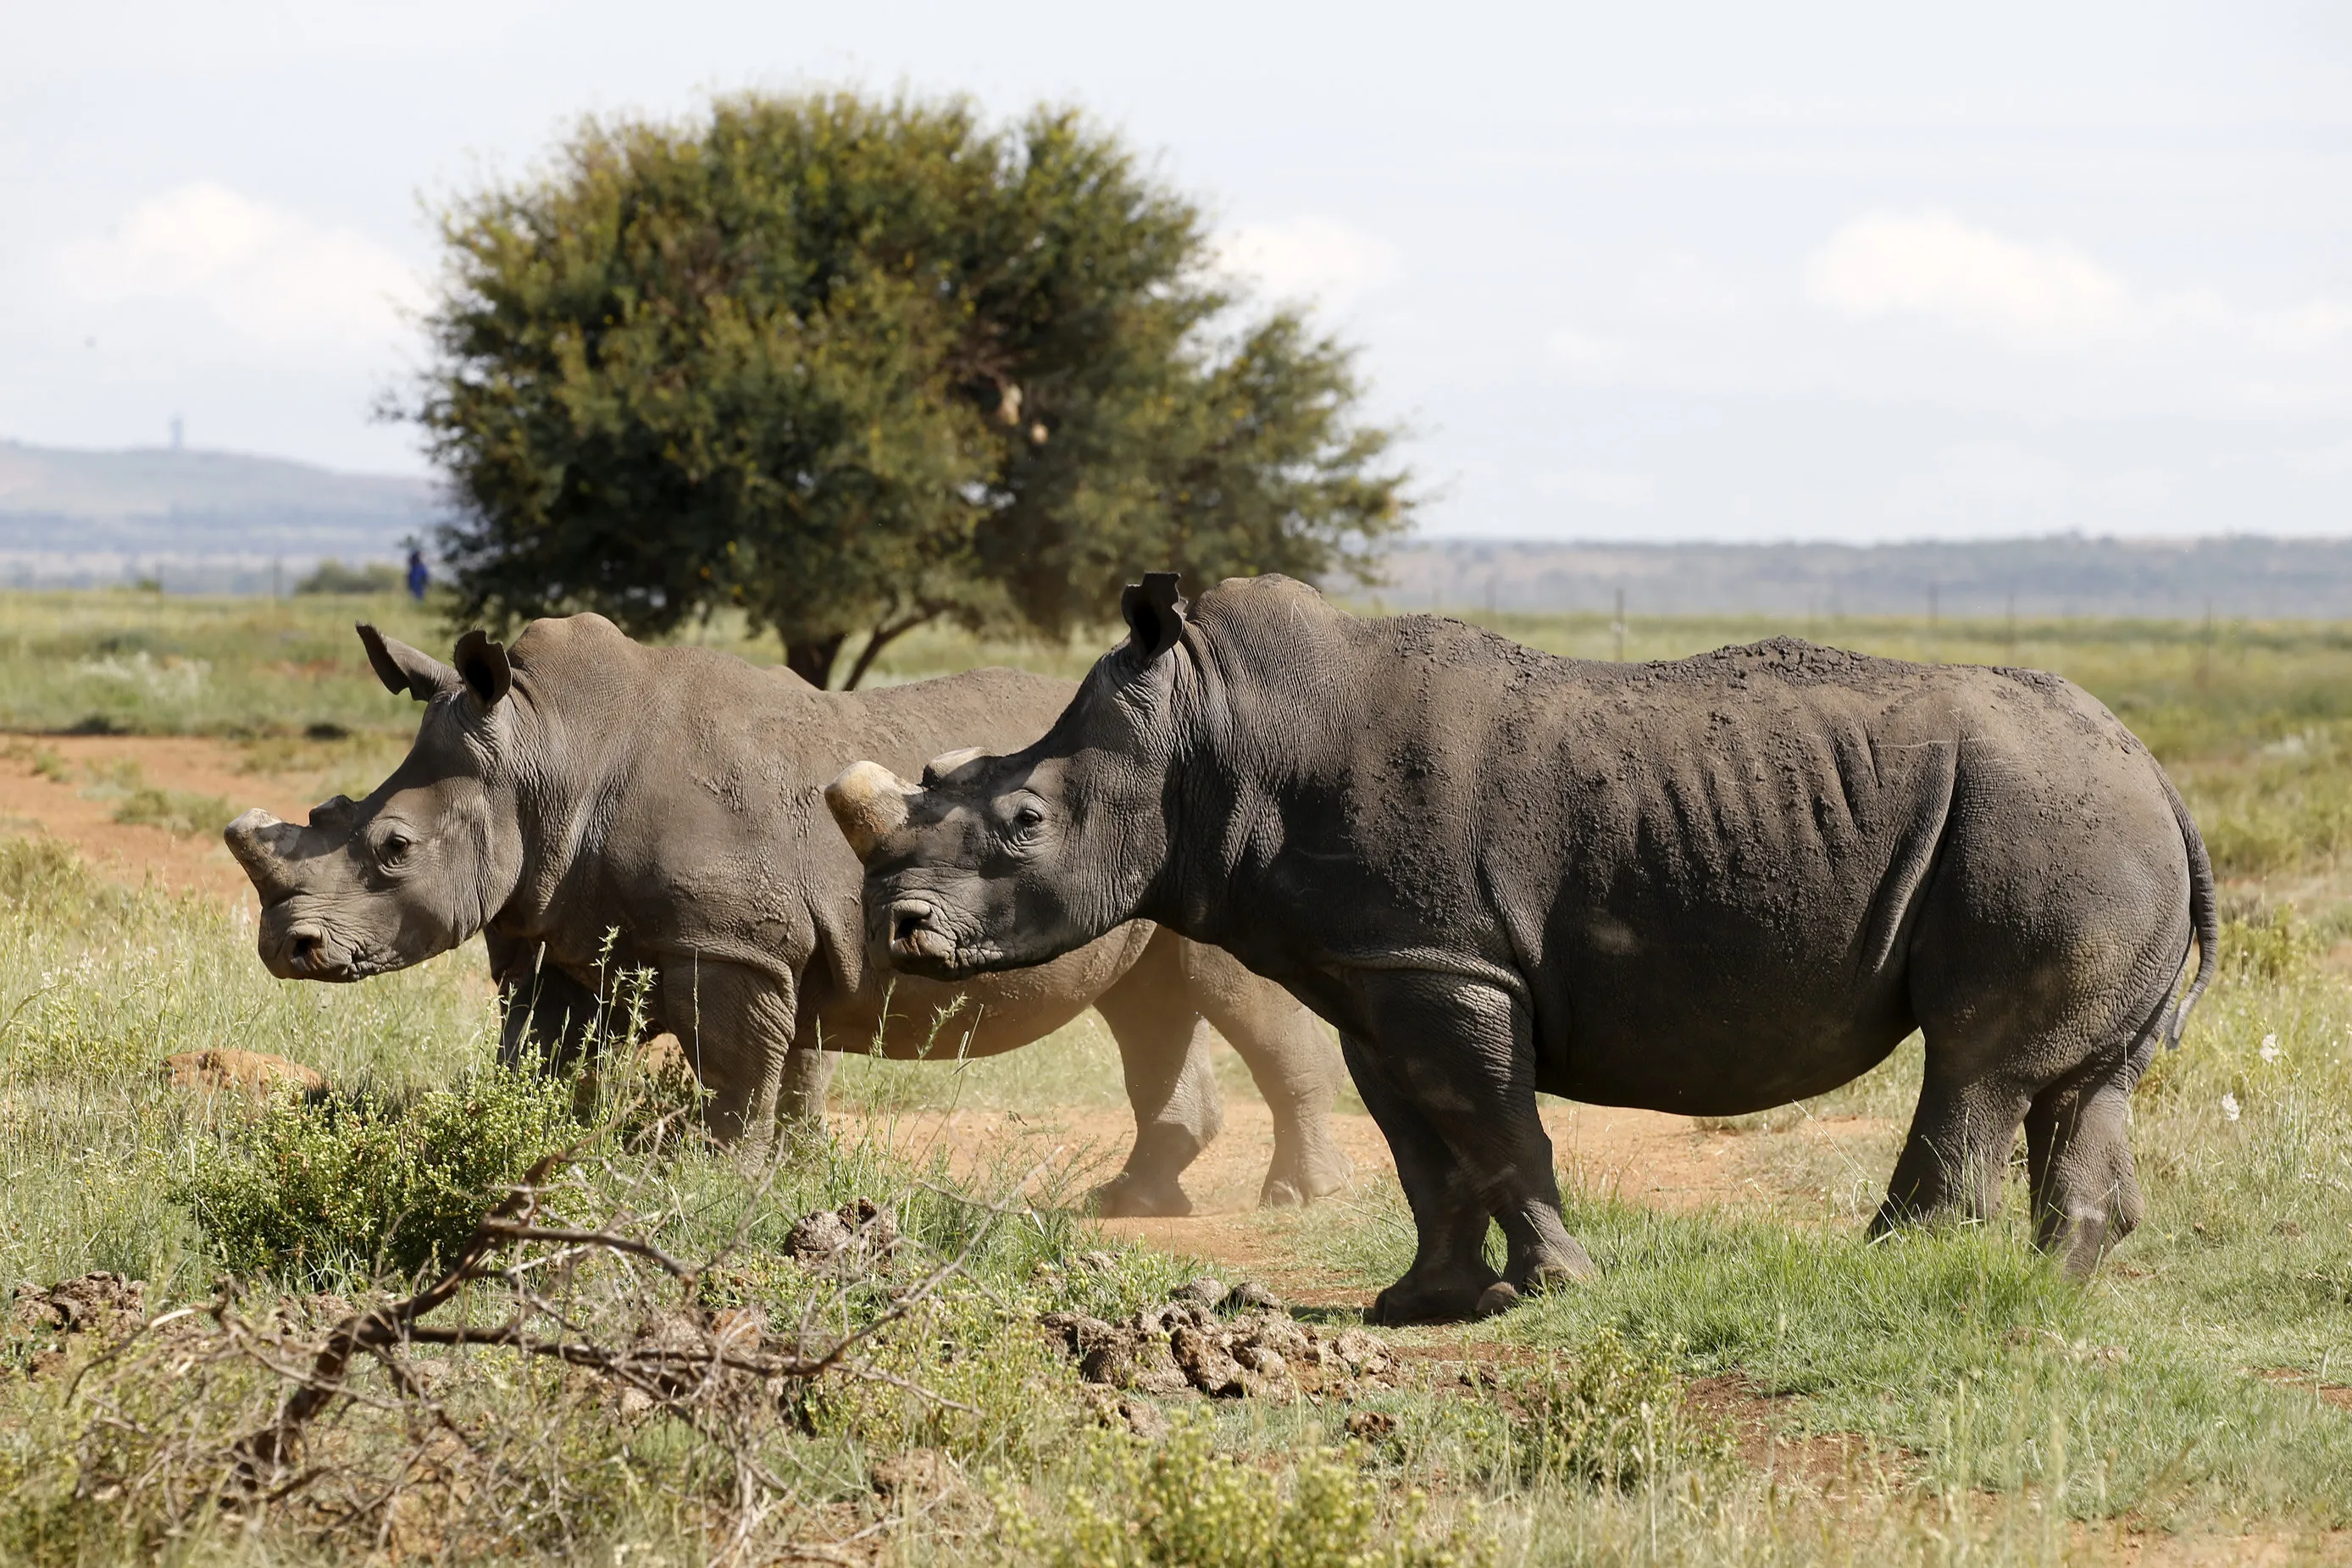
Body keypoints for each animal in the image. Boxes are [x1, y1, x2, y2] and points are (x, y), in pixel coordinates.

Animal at [231, 606, 1364, 1212]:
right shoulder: (555, 934)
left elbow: (740, 1071)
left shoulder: (732, 945)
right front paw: (531, 1157)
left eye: (393, 848)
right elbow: (549, 1060)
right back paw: (1130, 1204)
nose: (286, 948)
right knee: (1147, 1000)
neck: (547, 753)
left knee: (1228, 994)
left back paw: (1296, 1198)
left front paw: (717, 1181)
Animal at [832, 571, 2220, 1316]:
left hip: (2048, 823)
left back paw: (1886, 1281)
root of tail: (2160, 772)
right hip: (2089, 827)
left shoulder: (1443, 961)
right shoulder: (1379, 966)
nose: (901, 929)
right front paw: (1424, 1304)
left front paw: (1554, 1290)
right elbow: (1423, 1142)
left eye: (1024, 822)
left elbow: (1497, 1124)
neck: (1214, 732)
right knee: (2074, 1083)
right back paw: (2048, 1292)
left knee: (1974, 1065)